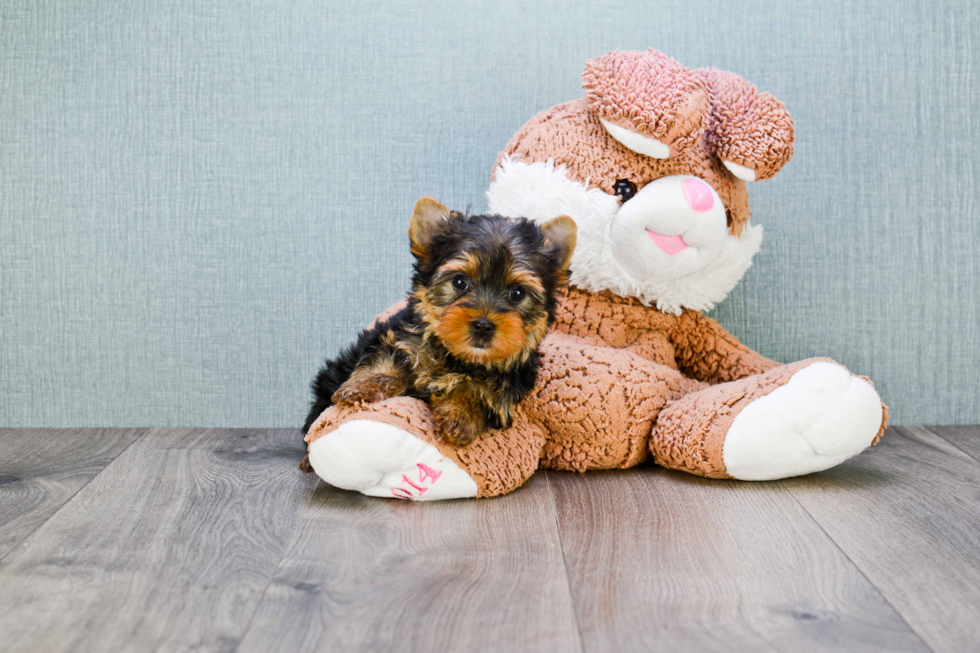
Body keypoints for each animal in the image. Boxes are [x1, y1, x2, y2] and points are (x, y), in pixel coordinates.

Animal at [298, 196, 576, 456]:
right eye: (460, 282)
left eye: (518, 293)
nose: (483, 325)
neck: (457, 357)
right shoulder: (399, 338)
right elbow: (388, 360)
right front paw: (363, 387)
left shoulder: (506, 387)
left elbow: (481, 394)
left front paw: (461, 416)